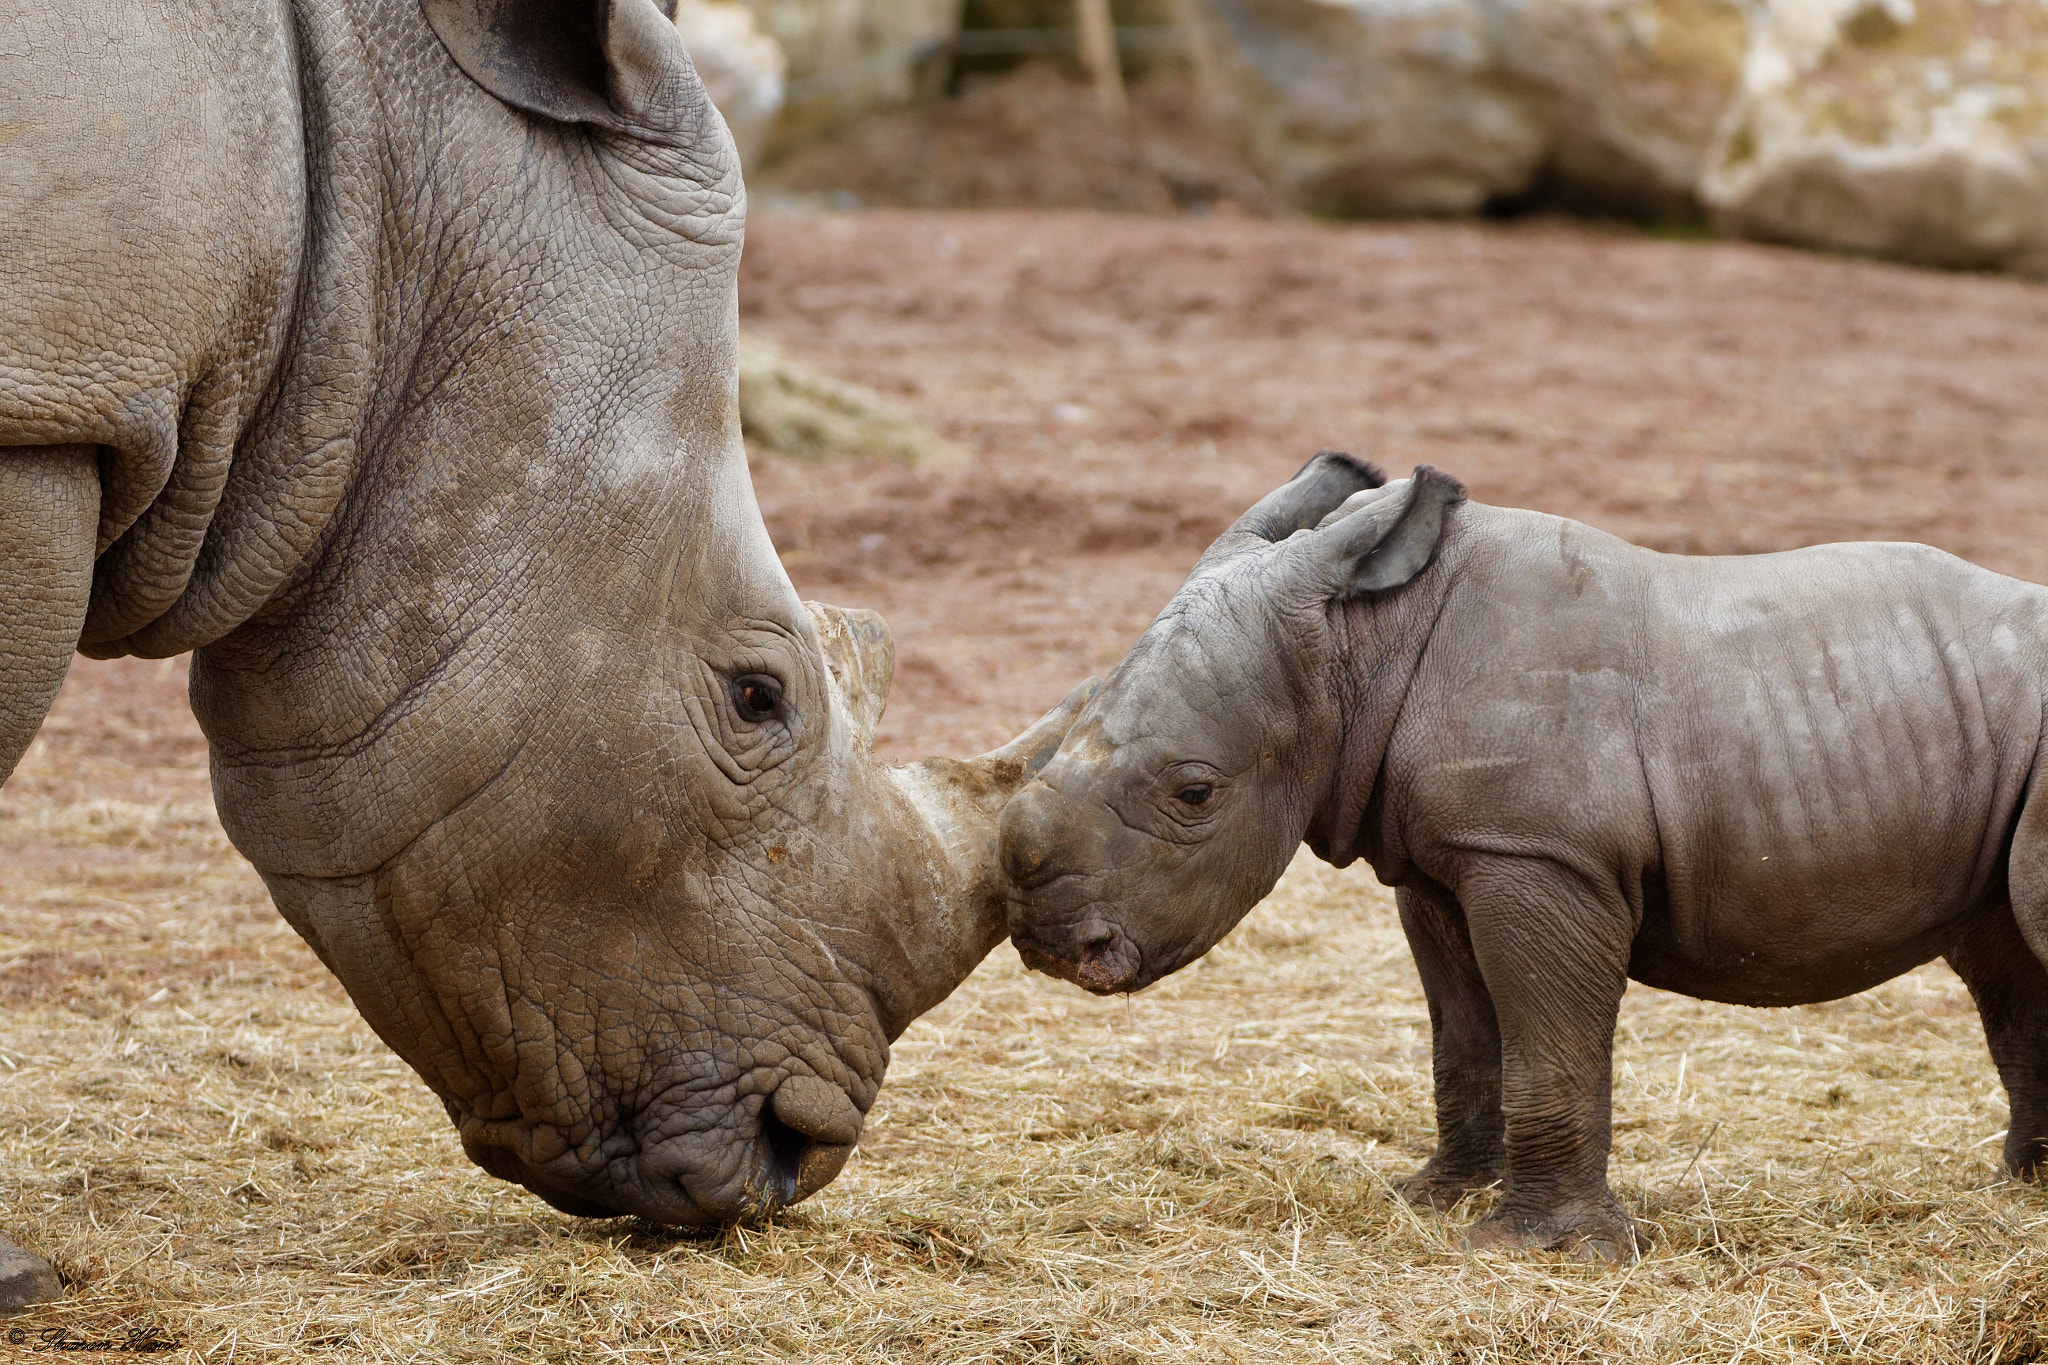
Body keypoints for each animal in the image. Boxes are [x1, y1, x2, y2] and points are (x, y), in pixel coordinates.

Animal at [1000, 452, 2048, 1261]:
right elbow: (1465, 1040)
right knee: (2008, 961)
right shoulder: (1444, 861)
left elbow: (1550, 1048)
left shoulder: (1539, 854)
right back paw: (2023, 1189)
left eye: (1195, 794)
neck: (1359, 644)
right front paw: (1435, 1196)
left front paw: (1540, 1247)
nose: (1053, 947)